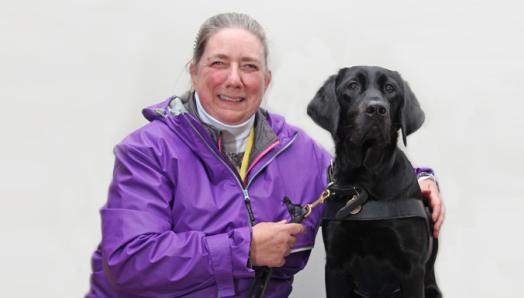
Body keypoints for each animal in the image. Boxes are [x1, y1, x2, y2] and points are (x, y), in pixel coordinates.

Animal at [308, 66, 442, 296]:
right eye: (352, 85)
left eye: (390, 88)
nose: (377, 109)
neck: (365, 182)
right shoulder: (335, 265)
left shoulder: (412, 268)